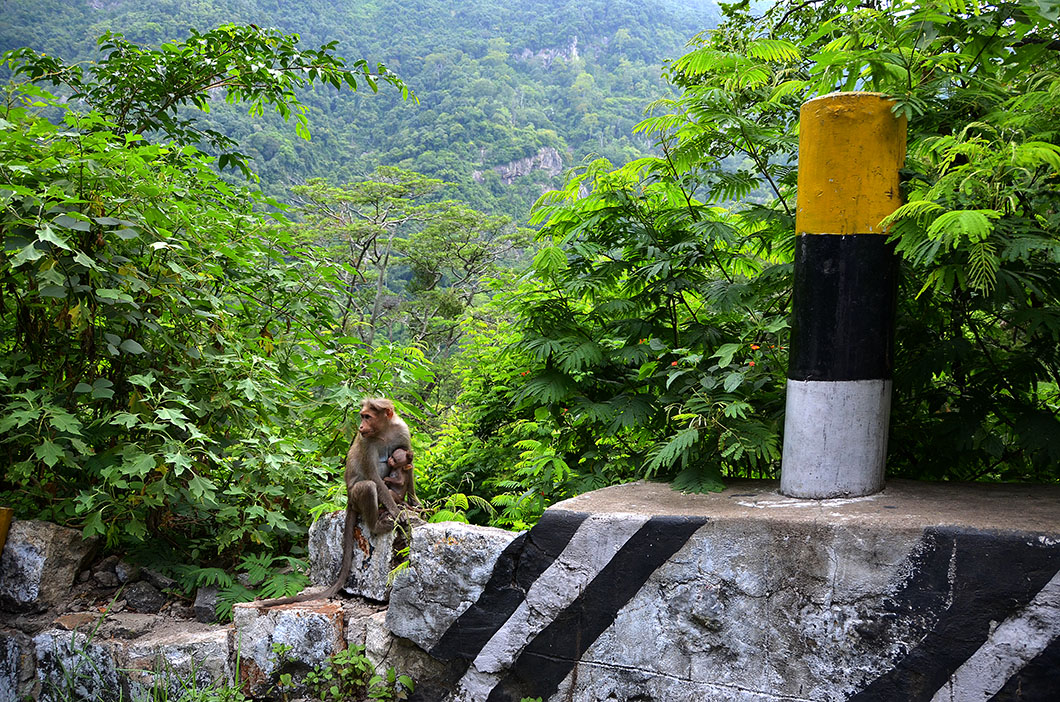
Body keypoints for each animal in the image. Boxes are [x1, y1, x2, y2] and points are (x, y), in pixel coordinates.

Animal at [257, 398, 412, 607]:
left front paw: (412, 503)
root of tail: (349, 501)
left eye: (367, 416)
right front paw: (396, 512)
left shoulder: (402, 431)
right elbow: (373, 477)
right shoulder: (366, 441)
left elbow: (408, 463)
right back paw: (377, 524)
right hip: (355, 496)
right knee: (369, 486)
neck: (383, 431)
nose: (361, 426)